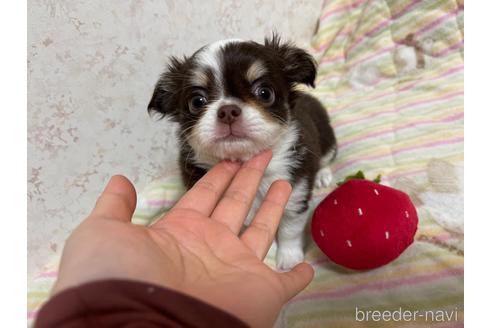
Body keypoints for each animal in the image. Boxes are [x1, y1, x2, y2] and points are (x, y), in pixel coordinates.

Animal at [148, 35, 336, 272]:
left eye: (265, 93)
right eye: (196, 102)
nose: (228, 110)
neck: (244, 161)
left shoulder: (296, 192)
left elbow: (289, 229)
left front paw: (289, 259)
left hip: (327, 138)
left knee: (327, 158)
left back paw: (323, 175)